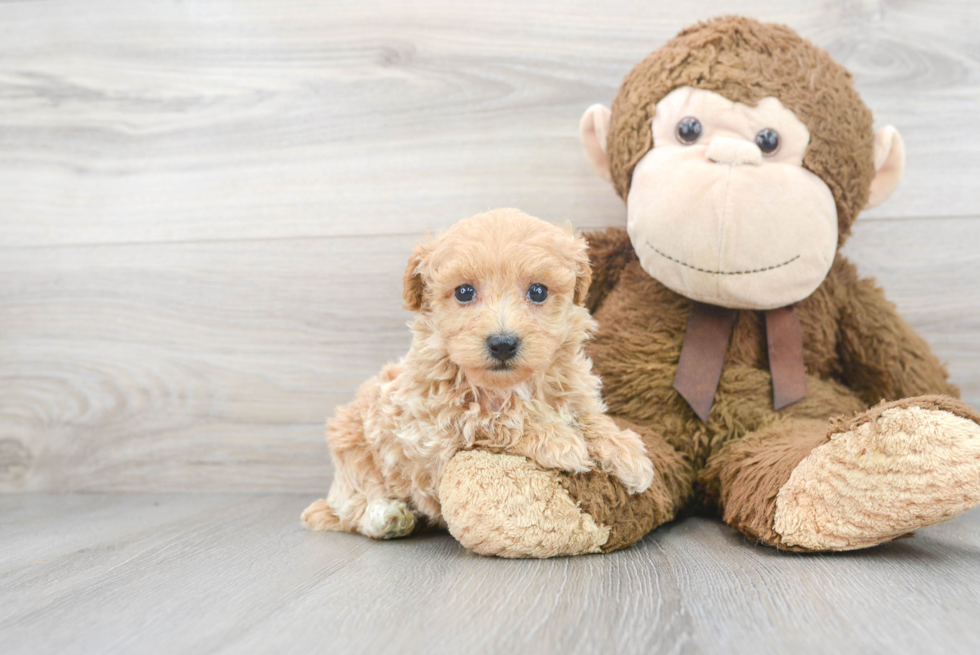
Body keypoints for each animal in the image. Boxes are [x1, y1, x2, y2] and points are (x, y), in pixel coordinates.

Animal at [302, 209, 656, 540]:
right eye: (464, 292)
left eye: (538, 292)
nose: (502, 343)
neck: (511, 385)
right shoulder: (431, 423)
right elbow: (497, 417)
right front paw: (559, 441)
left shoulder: (572, 389)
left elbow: (588, 416)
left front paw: (626, 451)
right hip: (352, 450)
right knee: (353, 509)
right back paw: (388, 517)